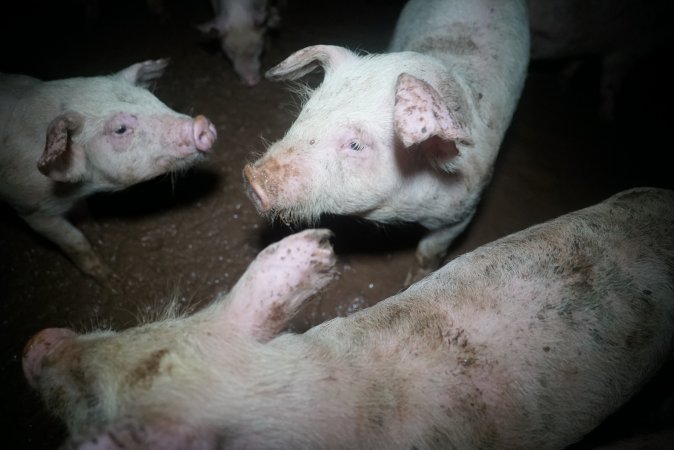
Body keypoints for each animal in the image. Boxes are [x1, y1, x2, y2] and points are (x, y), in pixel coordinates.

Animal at [0, 59, 217, 282]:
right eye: (120, 129)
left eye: (154, 99)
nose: (201, 122)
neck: (77, 189)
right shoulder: (31, 210)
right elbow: (76, 241)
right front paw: (109, 277)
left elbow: (84, 212)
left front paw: (99, 232)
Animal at [242, 0, 532, 276]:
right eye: (307, 110)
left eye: (355, 144)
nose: (252, 178)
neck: (401, 209)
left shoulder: (463, 211)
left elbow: (429, 252)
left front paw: (413, 280)